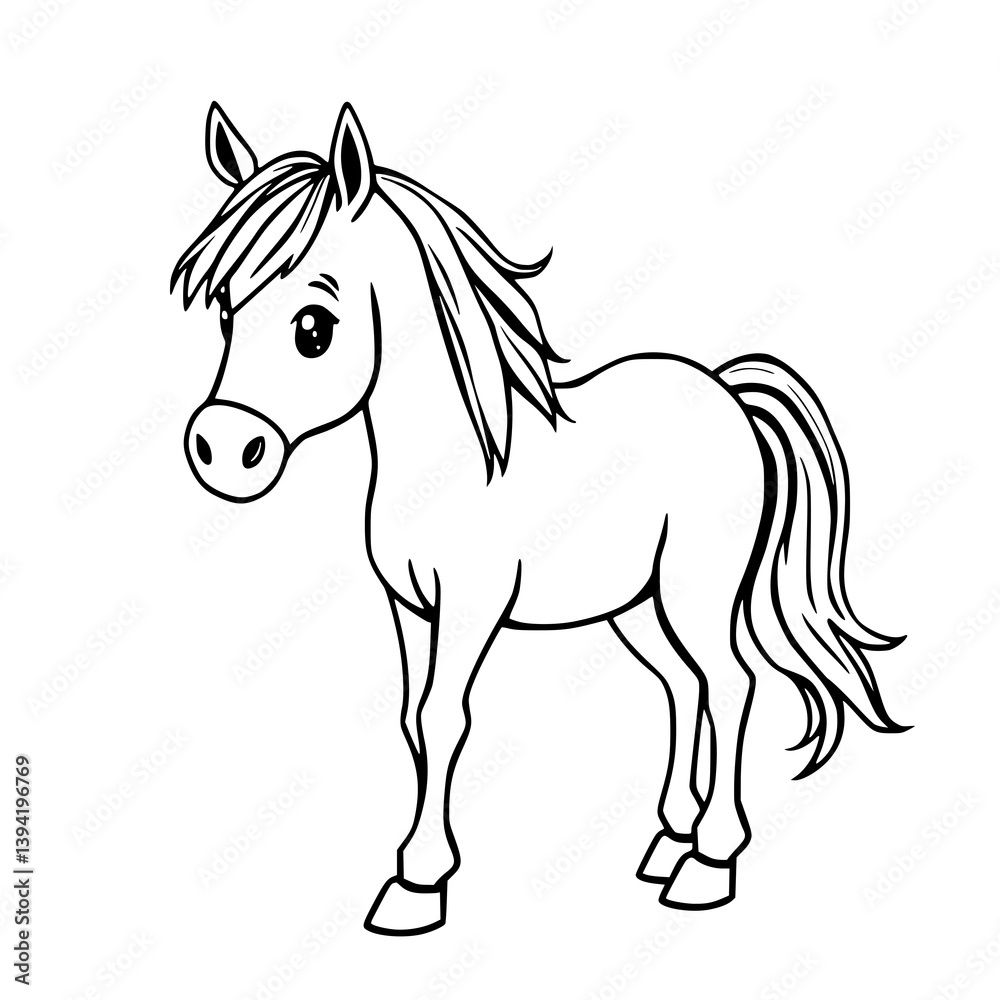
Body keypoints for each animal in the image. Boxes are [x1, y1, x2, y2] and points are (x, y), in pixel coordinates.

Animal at [171, 101, 906, 935]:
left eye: (313, 327)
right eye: (226, 312)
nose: (223, 452)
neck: (452, 463)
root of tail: (725, 393)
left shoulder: (470, 607)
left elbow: (443, 718)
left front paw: (419, 884)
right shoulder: (409, 607)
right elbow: (410, 719)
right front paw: (414, 868)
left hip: (697, 595)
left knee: (729, 684)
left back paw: (708, 863)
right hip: (637, 606)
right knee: (683, 686)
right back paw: (669, 841)